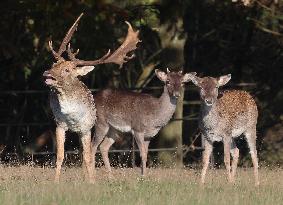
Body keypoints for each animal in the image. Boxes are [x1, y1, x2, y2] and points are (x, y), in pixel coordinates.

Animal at [42, 13, 140, 183]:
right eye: (54, 64)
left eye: (67, 70)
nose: (47, 73)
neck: (73, 117)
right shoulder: (60, 125)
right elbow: (60, 155)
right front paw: (55, 182)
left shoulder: (86, 128)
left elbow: (88, 157)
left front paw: (92, 181)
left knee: (88, 152)